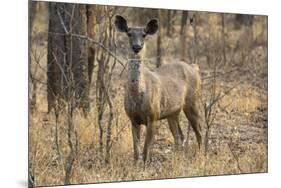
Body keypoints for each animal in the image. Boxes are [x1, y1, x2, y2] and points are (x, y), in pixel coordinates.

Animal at [114, 15, 201, 164]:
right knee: (179, 137)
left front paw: (145, 166)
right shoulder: (133, 119)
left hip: (192, 101)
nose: (137, 47)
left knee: (199, 131)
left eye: (144, 34)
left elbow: (145, 152)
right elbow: (136, 153)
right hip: (173, 112)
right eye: (129, 33)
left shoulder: (153, 116)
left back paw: (202, 156)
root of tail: (195, 67)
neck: (138, 97)